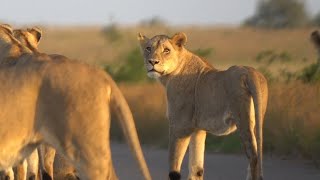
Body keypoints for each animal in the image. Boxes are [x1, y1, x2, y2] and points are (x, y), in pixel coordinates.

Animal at [138, 32, 268, 180]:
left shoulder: (180, 126)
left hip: (243, 119)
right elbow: (196, 168)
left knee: (254, 156)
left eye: (166, 50)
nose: (152, 62)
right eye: (148, 48)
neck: (169, 76)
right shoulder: (198, 129)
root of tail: (250, 72)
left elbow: (174, 169)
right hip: (257, 118)